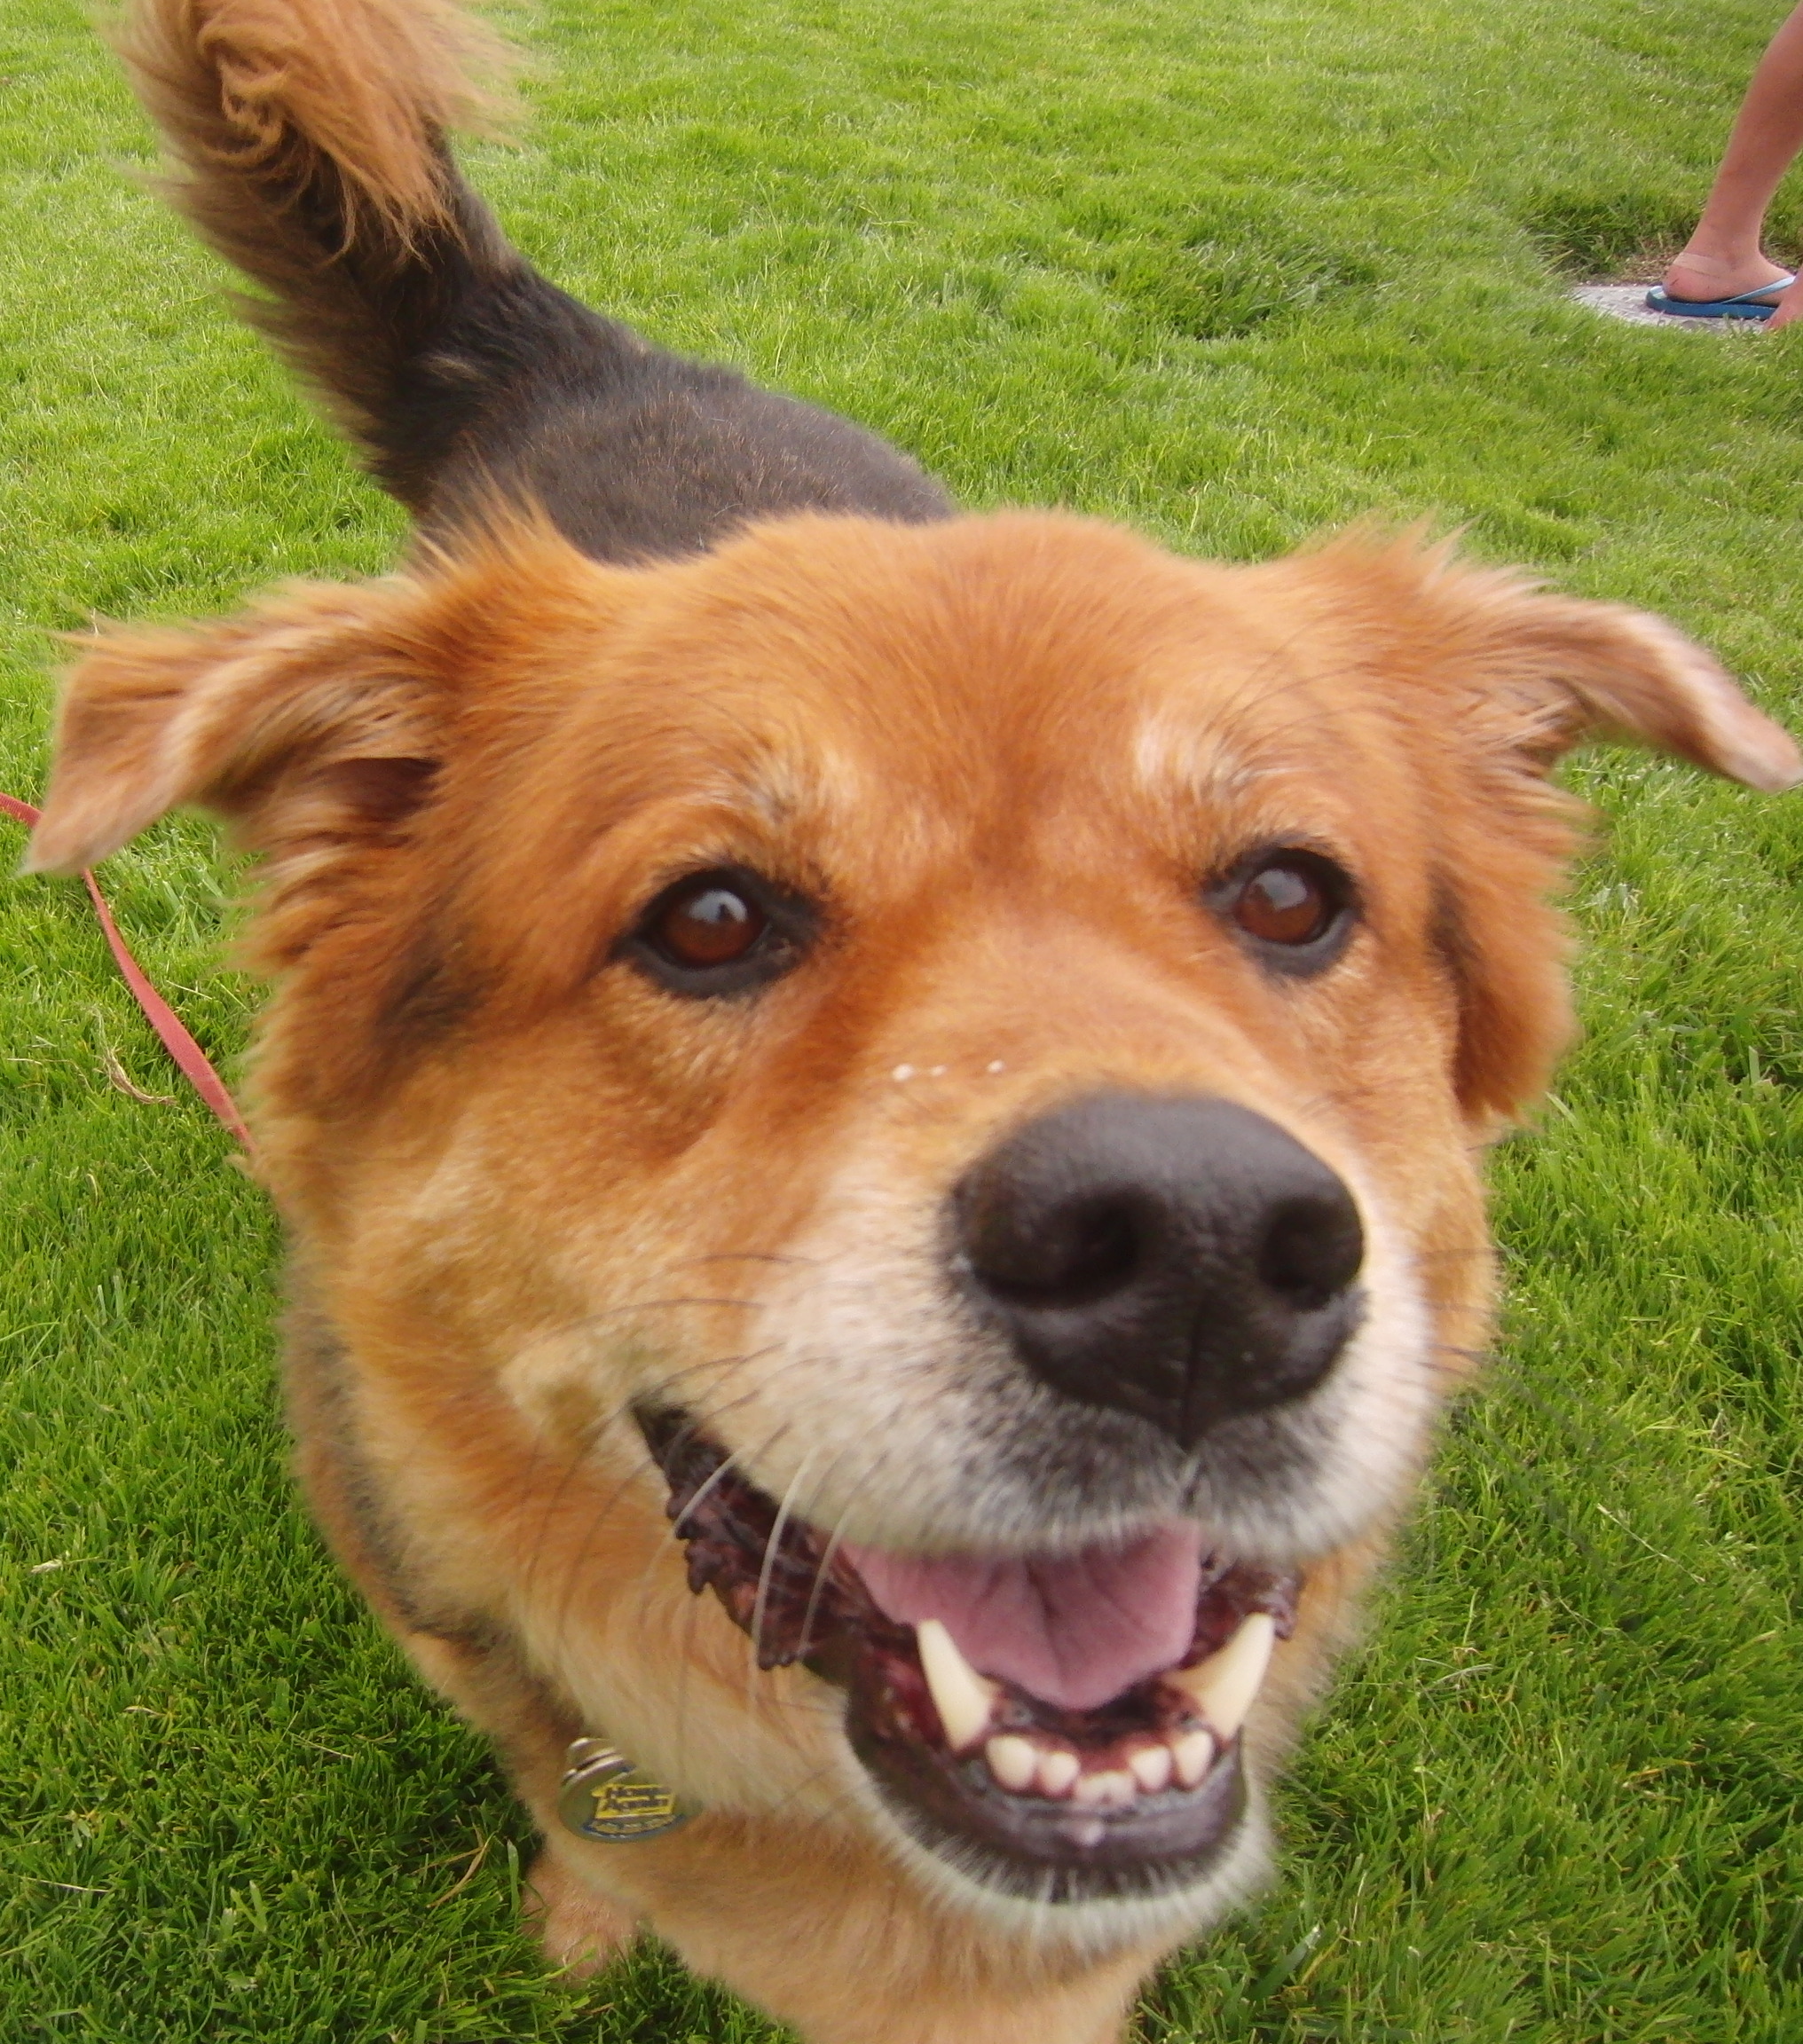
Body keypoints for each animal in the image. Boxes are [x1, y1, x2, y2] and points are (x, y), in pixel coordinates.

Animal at [28, 4, 1799, 2044]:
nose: (1196, 1253)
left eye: (1291, 896)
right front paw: (583, 1910)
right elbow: (563, 1793)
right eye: (709, 920)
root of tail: (603, 363)